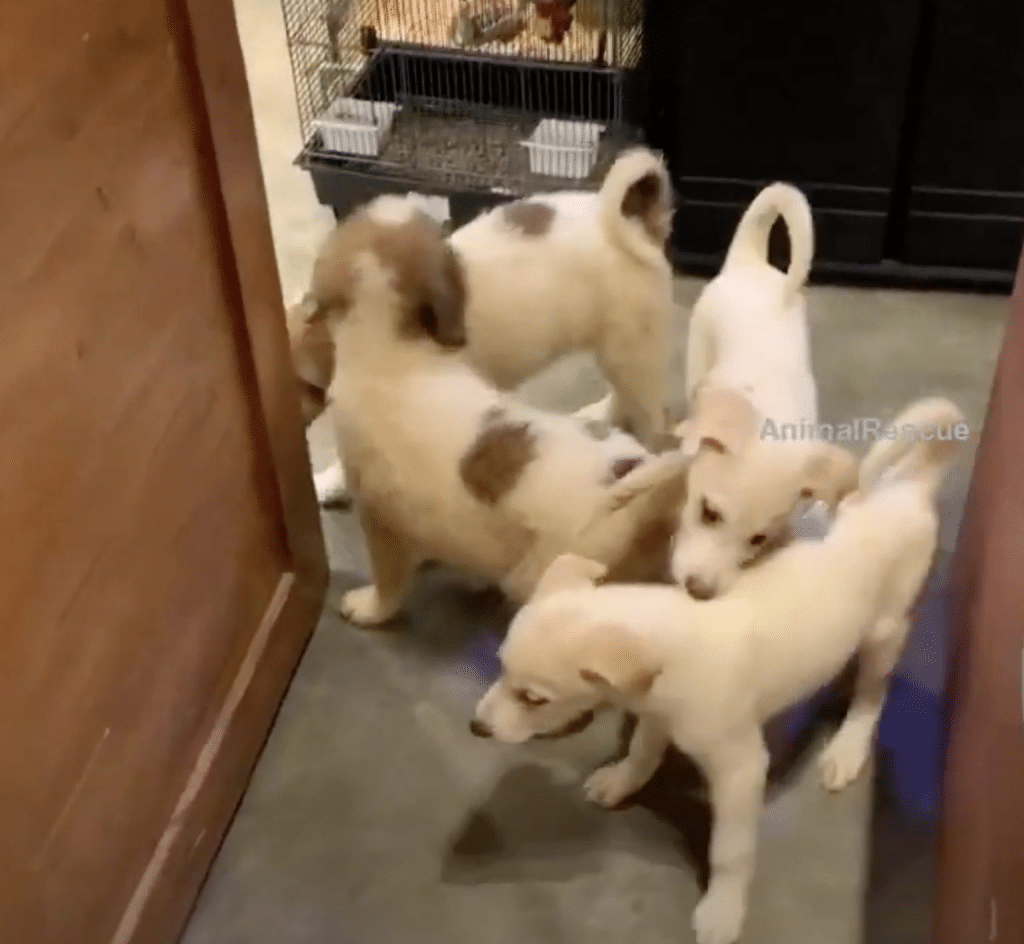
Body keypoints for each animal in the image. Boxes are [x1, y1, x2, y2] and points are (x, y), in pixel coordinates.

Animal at [472, 396, 964, 944]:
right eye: (500, 669)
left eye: (534, 698)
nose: (476, 726)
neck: (667, 643)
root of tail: (910, 487)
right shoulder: (655, 714)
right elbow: (642, 753)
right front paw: (621, 781)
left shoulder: (741, 770)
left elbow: (731, 852)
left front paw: (722, 911)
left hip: (885, 632)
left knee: (871, 696)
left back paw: (847, 748)